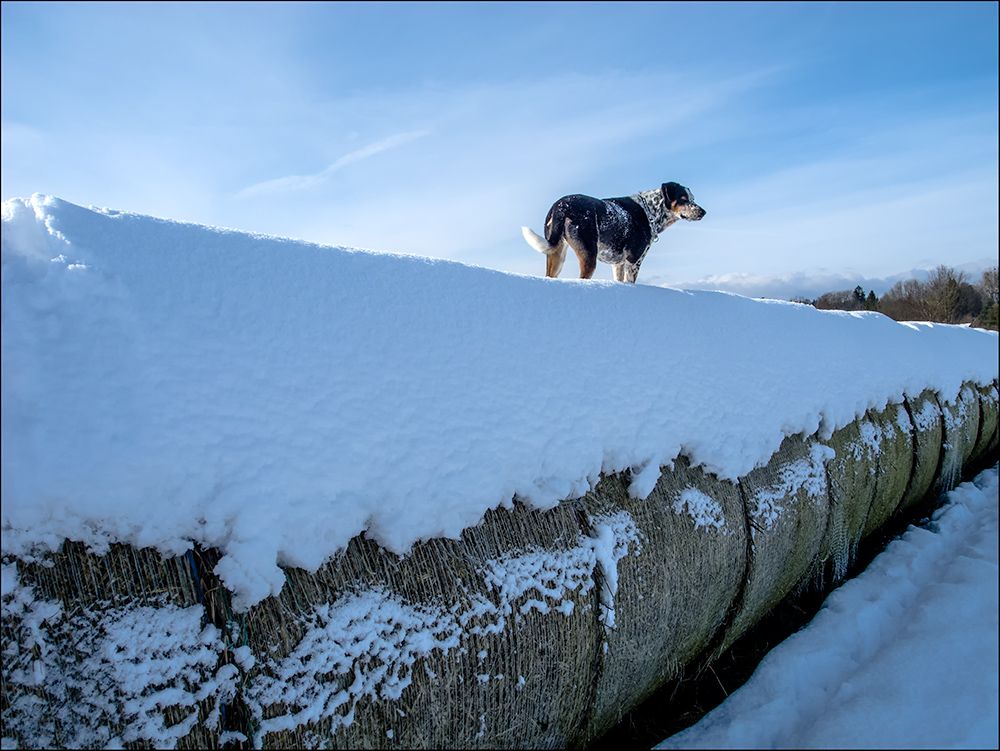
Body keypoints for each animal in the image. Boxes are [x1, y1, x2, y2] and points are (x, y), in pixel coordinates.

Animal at [524, 184, 704, 284]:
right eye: (684, 198)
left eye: (693, 198)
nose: (703, 212)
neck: (650, 211)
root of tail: (561, 205)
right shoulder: (634, 261)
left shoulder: (618, 264)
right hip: (588, 256)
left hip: (557, 254)